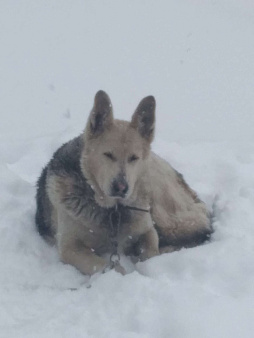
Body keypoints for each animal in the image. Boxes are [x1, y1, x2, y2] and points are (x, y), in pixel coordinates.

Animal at [34, 91, 211, 276]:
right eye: (108, 155)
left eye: (134, 158)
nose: (121, 187)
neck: (113, 211)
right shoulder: (70, 247)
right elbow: (107, 265)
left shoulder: (148, 231)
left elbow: (151, 253)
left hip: (162, 210)